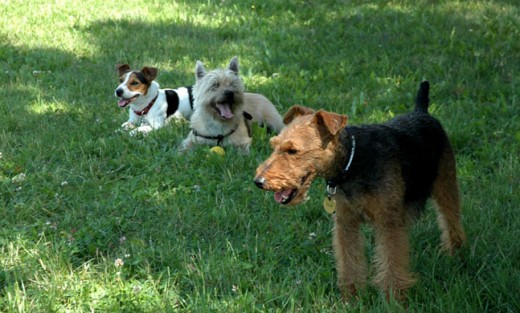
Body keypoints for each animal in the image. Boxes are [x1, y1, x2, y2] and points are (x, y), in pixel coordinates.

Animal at [254, 81, 466, 302]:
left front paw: (393, 299)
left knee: (451, 219)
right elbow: (349, 262)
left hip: (446, 184)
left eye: (292, 150)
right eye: (274, 146)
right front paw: (351, 297)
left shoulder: (388, 222)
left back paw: (456, 254)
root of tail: (421, 112)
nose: (258, 181)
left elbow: (391, 261)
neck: (351, 162)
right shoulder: (346, 222)